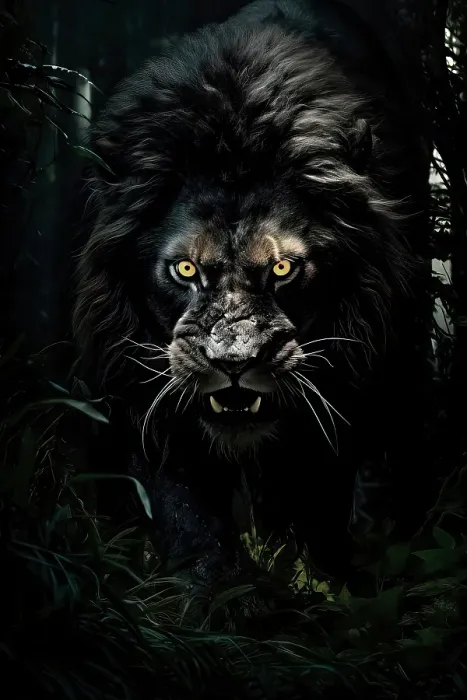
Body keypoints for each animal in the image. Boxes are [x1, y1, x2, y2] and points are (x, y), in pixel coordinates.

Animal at [73, 0, 433, 581]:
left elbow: (314, 505)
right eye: (186, 270)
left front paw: (314, 583)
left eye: (283, 268)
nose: (235, 364)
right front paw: (210, 594)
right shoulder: (143, 388)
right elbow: (187, 516)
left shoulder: (342, 386)